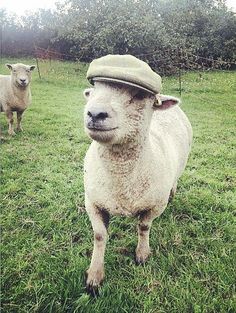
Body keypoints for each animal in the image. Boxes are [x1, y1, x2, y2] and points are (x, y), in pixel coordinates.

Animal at [82, 55, 193, 292]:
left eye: (139, 96)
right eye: (94, 90)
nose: (95, 113)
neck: (122, 179)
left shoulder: (155, 205)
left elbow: (143, 226)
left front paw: (142, 254)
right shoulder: (92, 202)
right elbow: (99, 235)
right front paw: (95, 275)